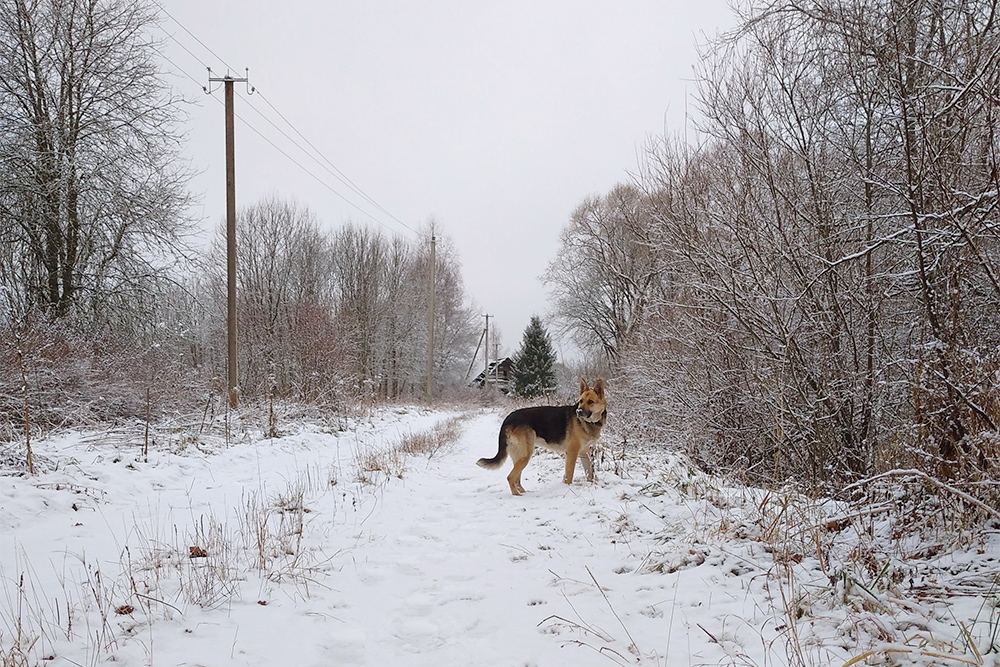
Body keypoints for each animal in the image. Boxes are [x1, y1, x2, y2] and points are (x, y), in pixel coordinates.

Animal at [478, 380, 608, 496]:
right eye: (581, 401)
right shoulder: (572, 453)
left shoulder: (585, 453)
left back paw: (523, 492)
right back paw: (517, 495)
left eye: (590, 401)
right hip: (525, 455)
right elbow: (569, 475)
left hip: (520, 456)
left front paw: (593, 485)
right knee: (510, 477)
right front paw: (567, 488)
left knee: (516, 479)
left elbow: (590, 473)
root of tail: (508, 419)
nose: (579, 411)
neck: (590, 423)